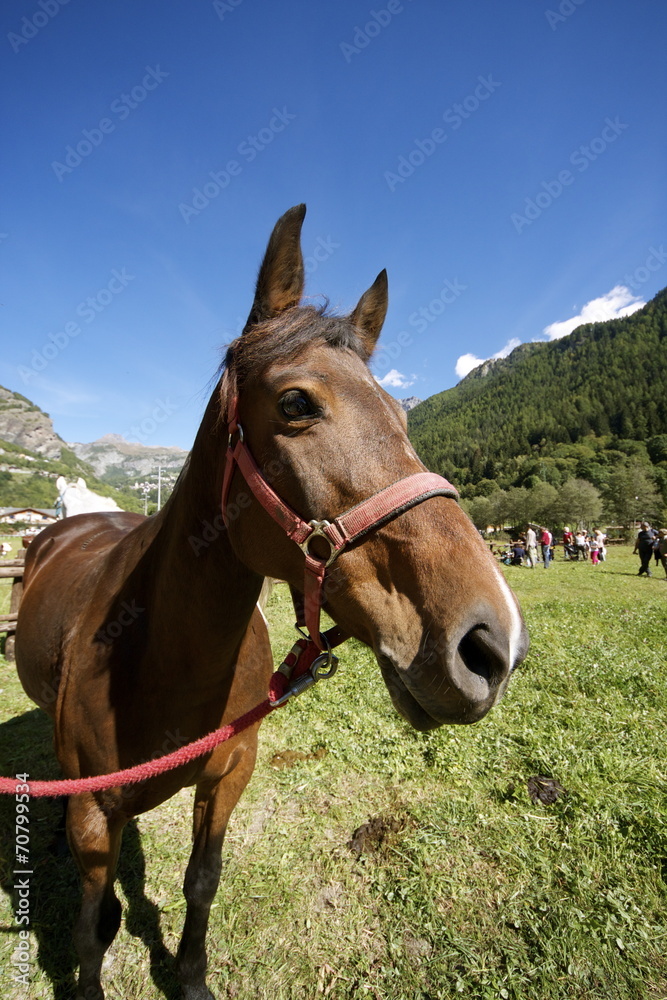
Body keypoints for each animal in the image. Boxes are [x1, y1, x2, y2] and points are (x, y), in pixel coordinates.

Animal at [15, 205, 529, 1000]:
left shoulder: (230, 773)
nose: (490, 645)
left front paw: (191, 979)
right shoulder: (95, 815)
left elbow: (201, 881)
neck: (159, 657)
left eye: (402, 415)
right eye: (294, 402)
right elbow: (90, 926)